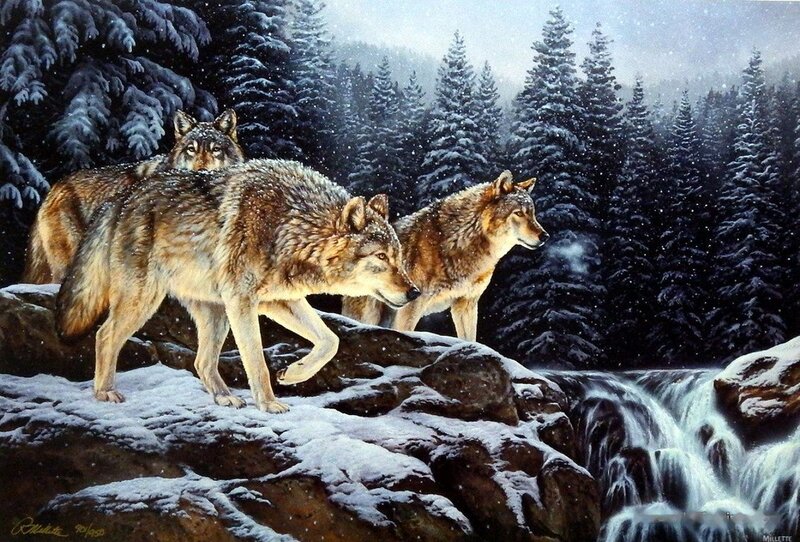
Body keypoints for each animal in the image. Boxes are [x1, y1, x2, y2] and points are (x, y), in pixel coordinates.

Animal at [56, 159, 419, 413]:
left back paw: (225, 398)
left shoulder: (278, 300)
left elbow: (331, 341)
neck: (288, 225)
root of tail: (120, 199)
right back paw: (103, 392)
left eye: (399, 257)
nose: (414, 292)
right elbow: (256, 361)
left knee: (201, 362)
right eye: (381, 256)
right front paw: (270, 404)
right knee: (105, 335)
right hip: (145, 300)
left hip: (214, 313)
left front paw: (293, 373)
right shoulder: (242, 300)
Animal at [342, 171, 548, 341]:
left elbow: (470, 341)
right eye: (519, 213)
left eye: (533, 214)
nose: (545, 236)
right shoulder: (412, 306)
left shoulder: (466, 305)